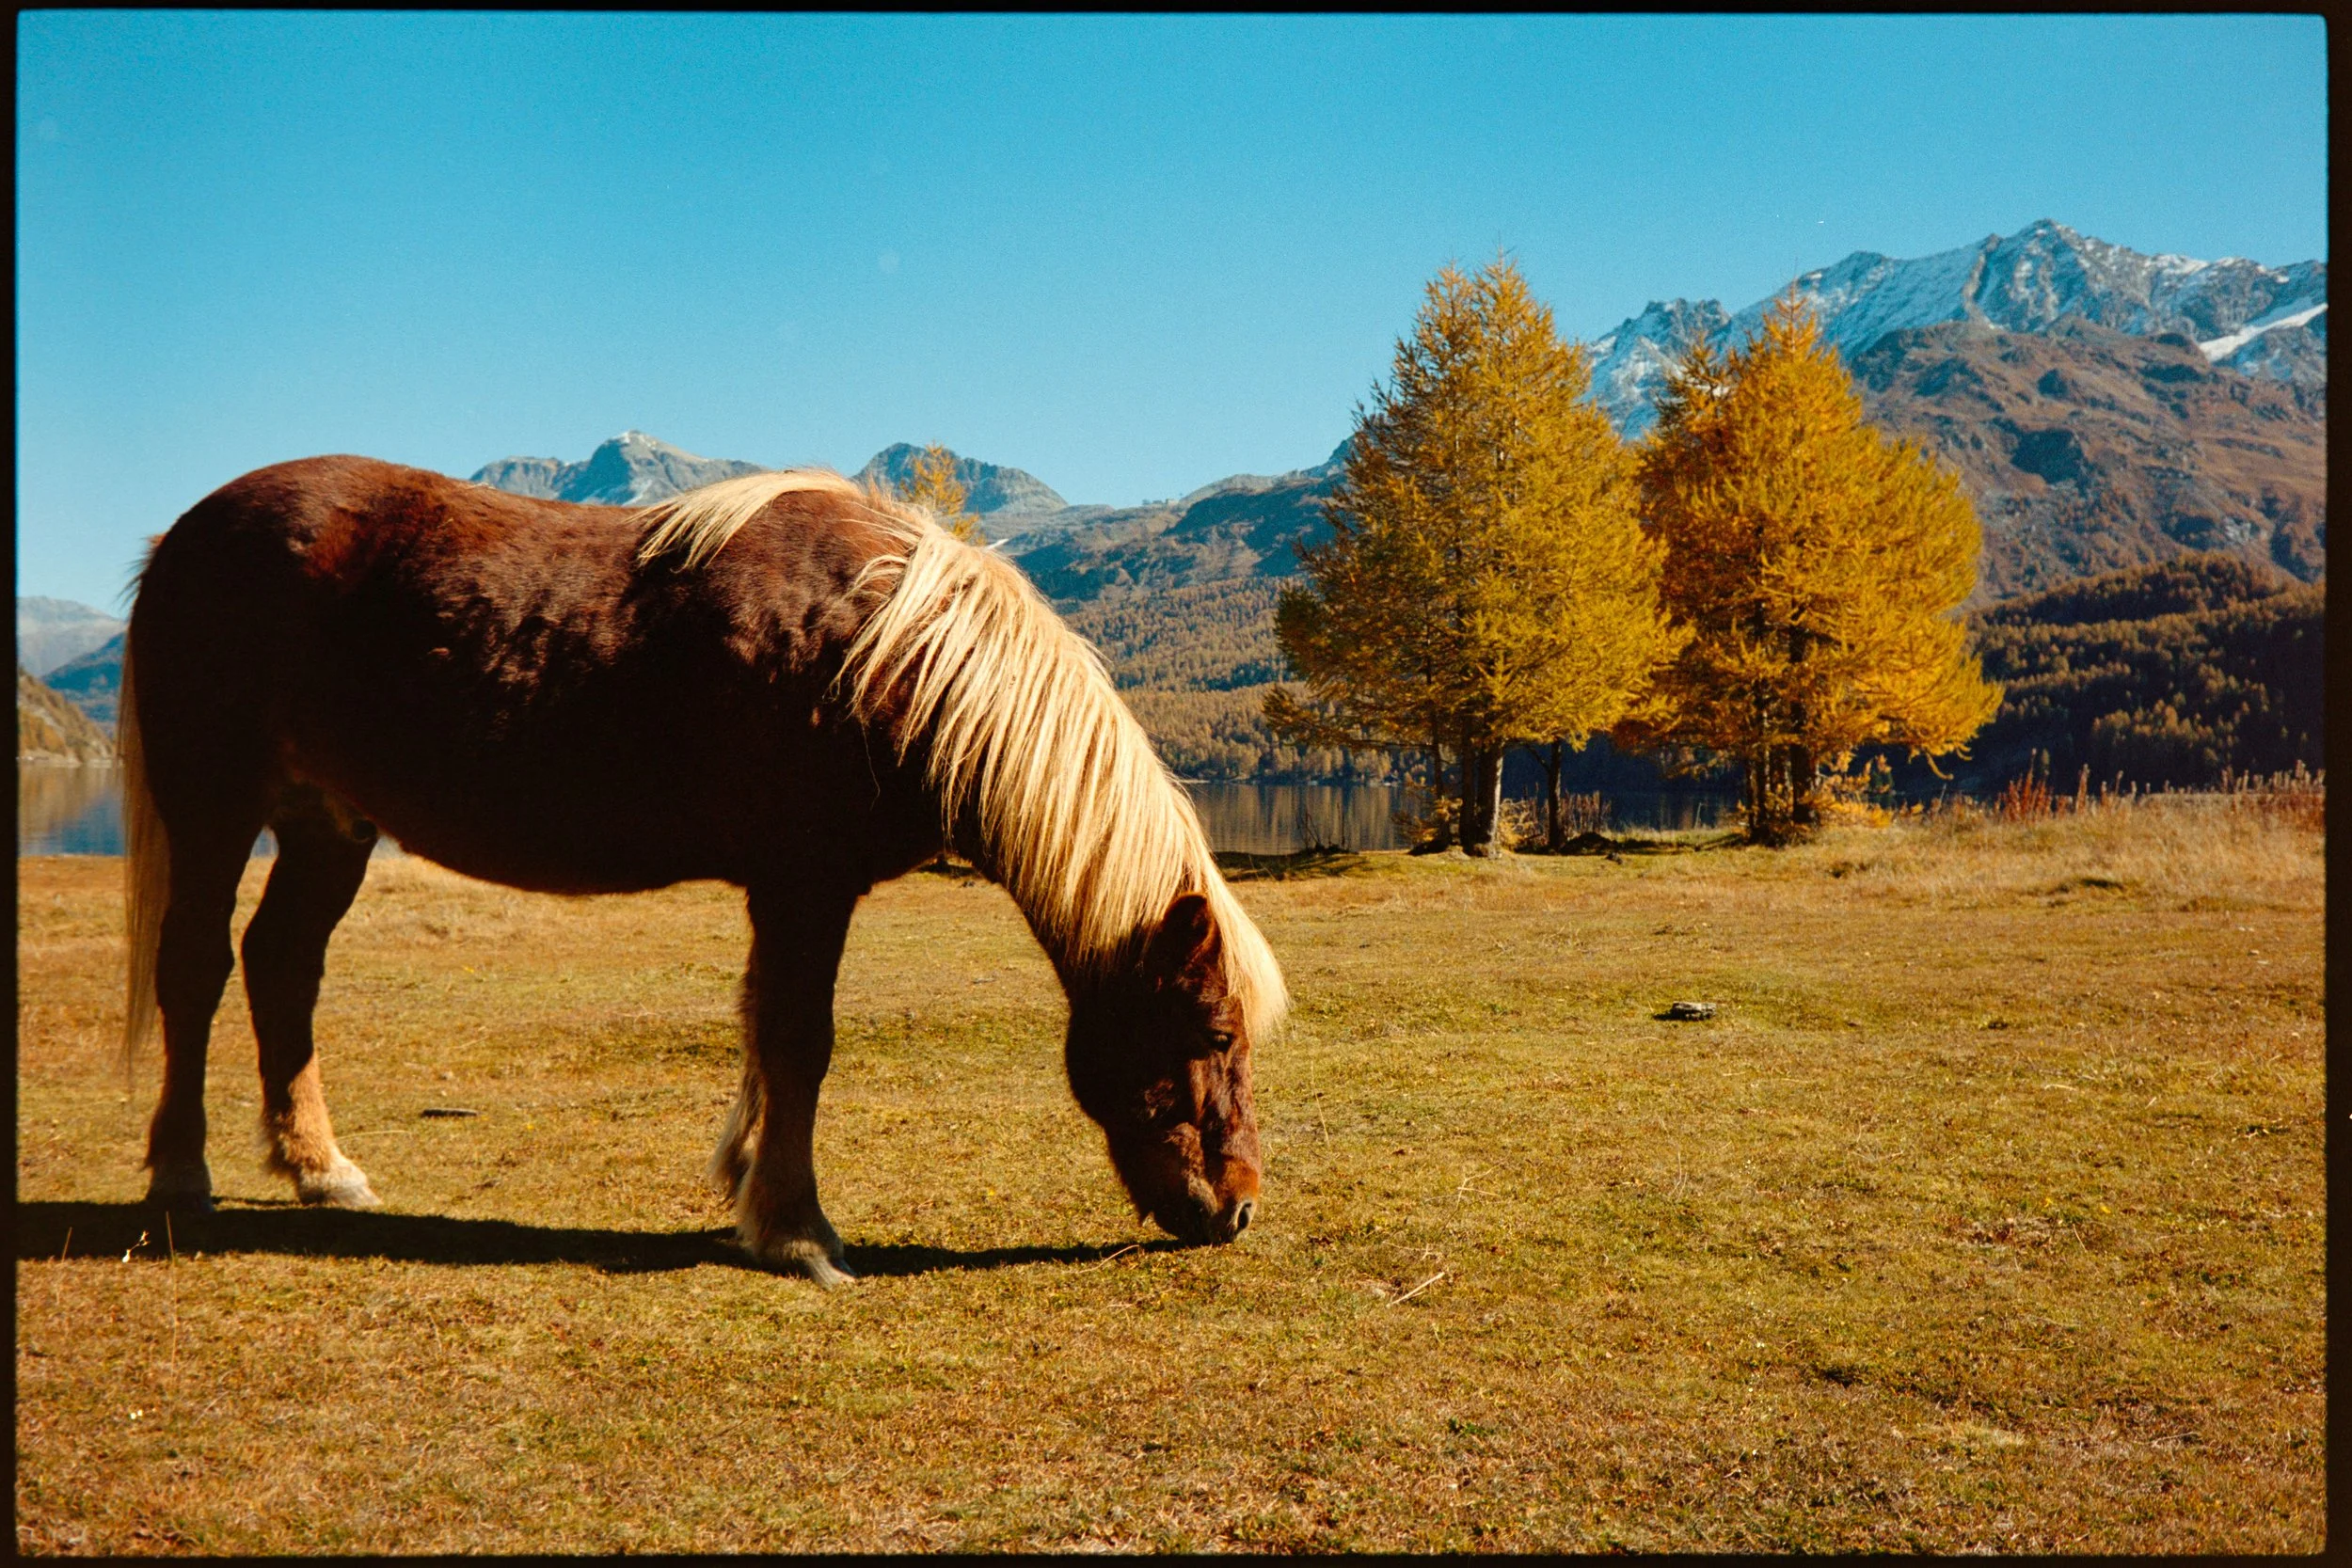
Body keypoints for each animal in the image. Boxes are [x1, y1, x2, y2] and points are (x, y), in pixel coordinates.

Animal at [117, 458, 1286, 1286]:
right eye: (1213, 1035)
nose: (1236, 1207)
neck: (892, 650)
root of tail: (182, 535)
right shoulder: (805, 883)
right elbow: (800, 1040)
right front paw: (798, 1231)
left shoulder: (787, 891)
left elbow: (766, 1031)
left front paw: (753, 1195)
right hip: (216, 807)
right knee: (196, 968)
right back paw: (180, 1176)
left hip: (328, 826)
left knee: (282, 967)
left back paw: (320, 1167)